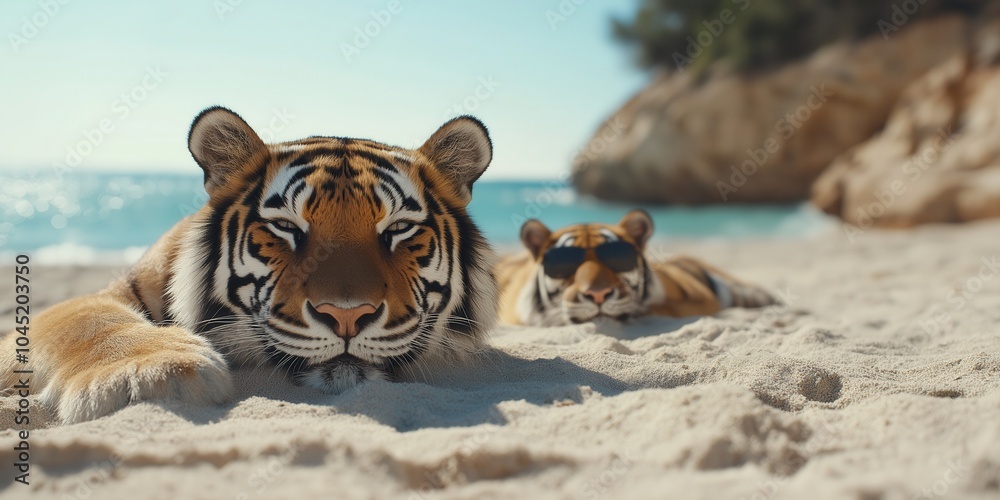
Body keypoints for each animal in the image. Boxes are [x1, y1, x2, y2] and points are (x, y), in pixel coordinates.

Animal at [0, 106, 499, 423]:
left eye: (398, 229)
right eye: (286, 227)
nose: (347, 316)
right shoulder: (112, 294)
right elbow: (88, 319)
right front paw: (149, 376)